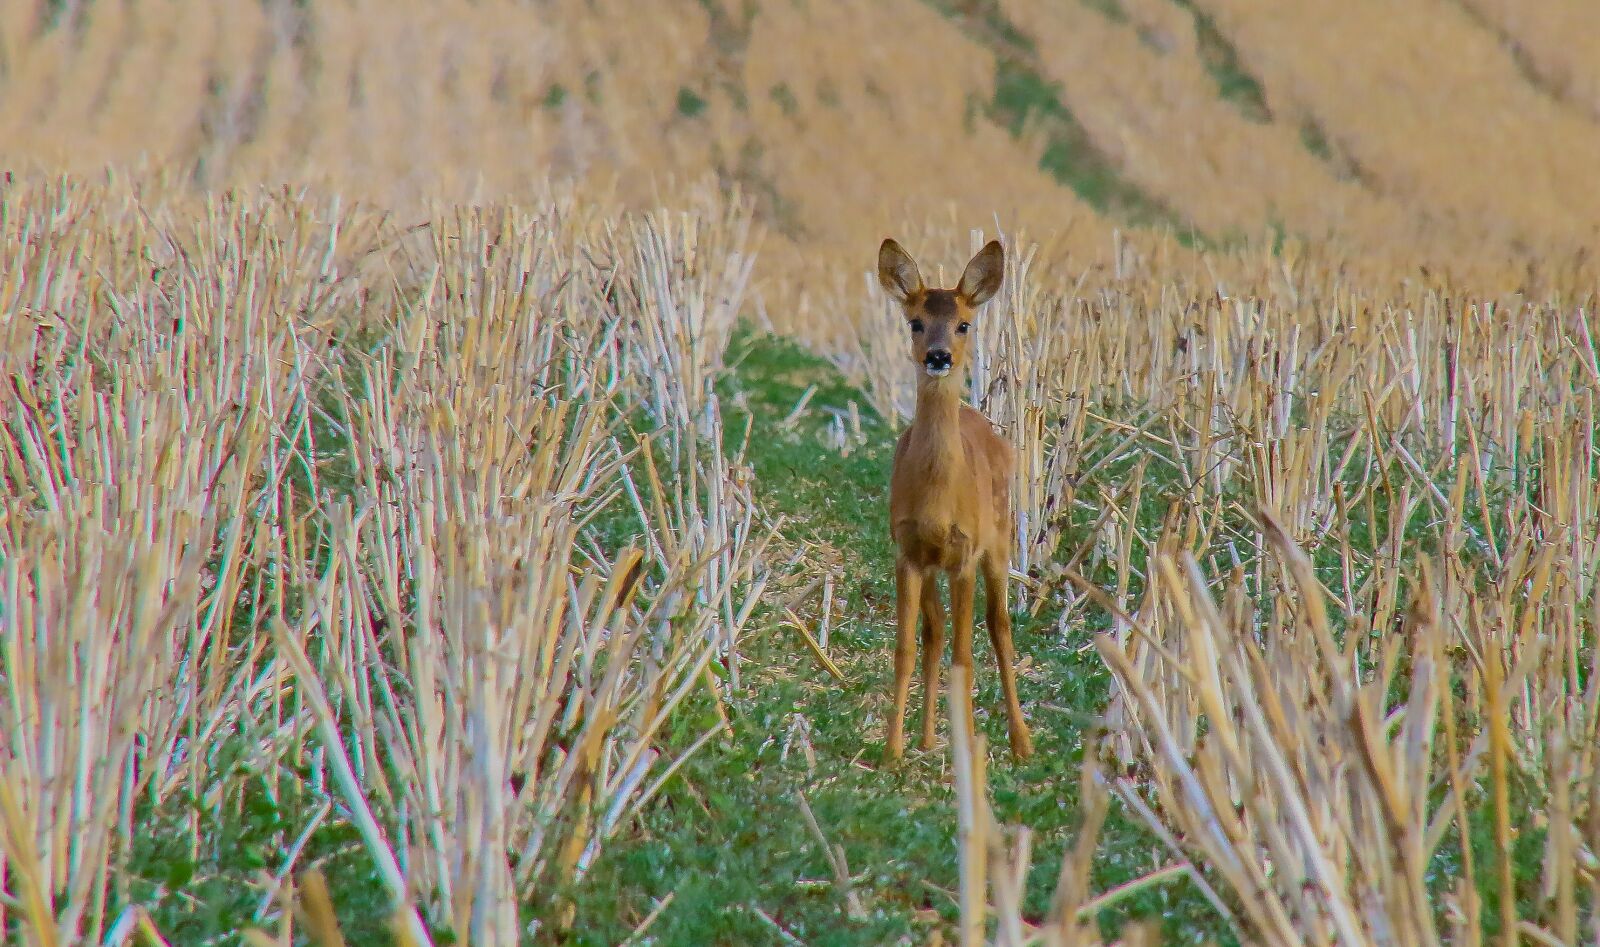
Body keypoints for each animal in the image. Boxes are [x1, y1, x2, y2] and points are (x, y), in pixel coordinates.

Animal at [878, 237, 1033, 762]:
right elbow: (907, 648)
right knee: (936, 629)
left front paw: (966, 750)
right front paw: (892, 751)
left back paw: (1022, 741)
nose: (939, 356)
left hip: (1000, 540)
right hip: (934, 567)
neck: (939, 498)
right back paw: (927, 738)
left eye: (964, 322)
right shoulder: (907, 551)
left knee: (1000, 628)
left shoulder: (965, 552)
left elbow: (966, 654)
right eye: (915, 322)